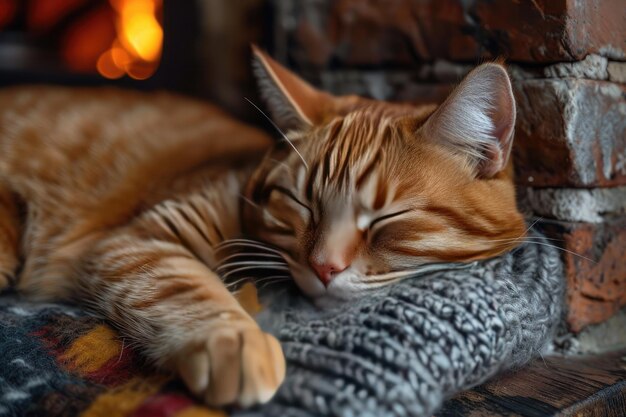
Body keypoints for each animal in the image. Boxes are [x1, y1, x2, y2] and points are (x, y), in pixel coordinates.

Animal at [0, 46, 524, 406]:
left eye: (388, 218)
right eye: (301, 203)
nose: (324, 267)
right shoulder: (135, 240)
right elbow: (184, 286)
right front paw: (235, 343)